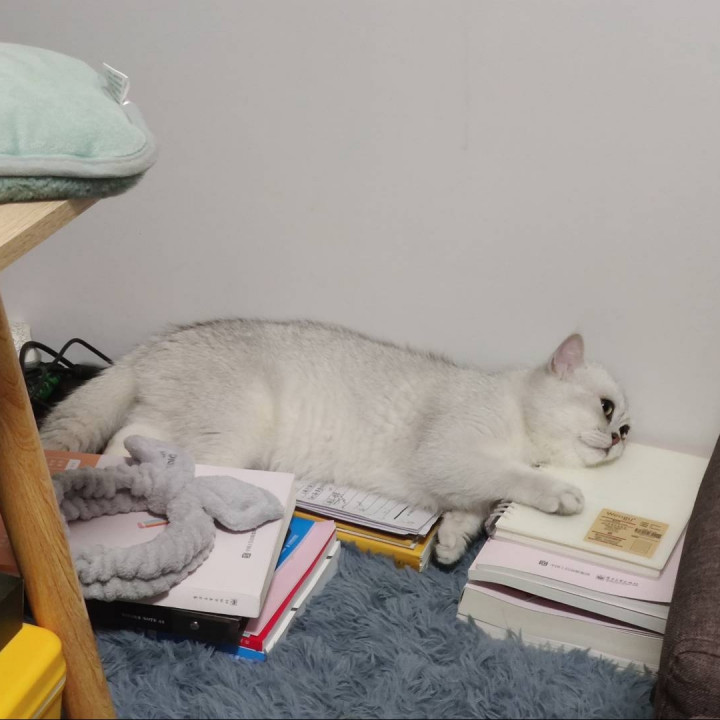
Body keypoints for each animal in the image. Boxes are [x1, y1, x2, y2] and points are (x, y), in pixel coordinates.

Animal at [39, 319, 631, 564]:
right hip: (236, 433)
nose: (621, 438)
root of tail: (150, 348)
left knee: (127, 438)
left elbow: (470, 507)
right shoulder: (450, 455)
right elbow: (507, 478)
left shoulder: (461, 481)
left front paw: (450, 542)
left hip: (170, 423)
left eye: (625, 425)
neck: (513, 410)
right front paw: (558, 493)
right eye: (607, 408)